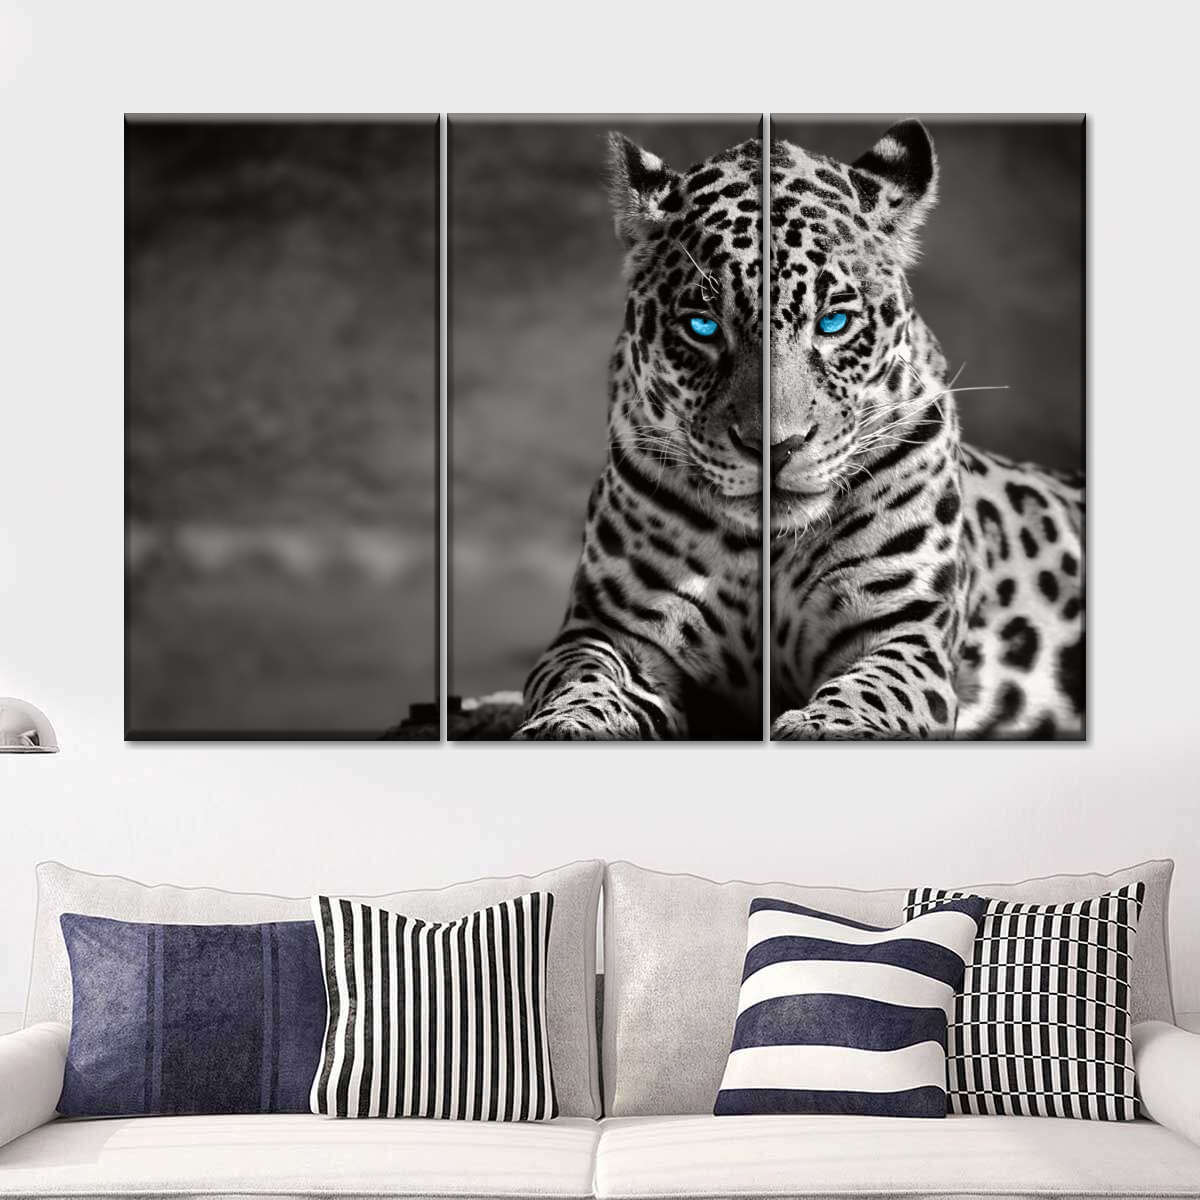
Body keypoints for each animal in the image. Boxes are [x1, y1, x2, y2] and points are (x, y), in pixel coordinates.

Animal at [515, 121, 1083, 740]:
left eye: (833, 322)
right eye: (702, 327)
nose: (774, 446)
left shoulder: (904, 630)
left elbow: (871, 692)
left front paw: (823, 725)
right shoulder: (609, 628)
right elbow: (582, 680)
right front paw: (568, 724)